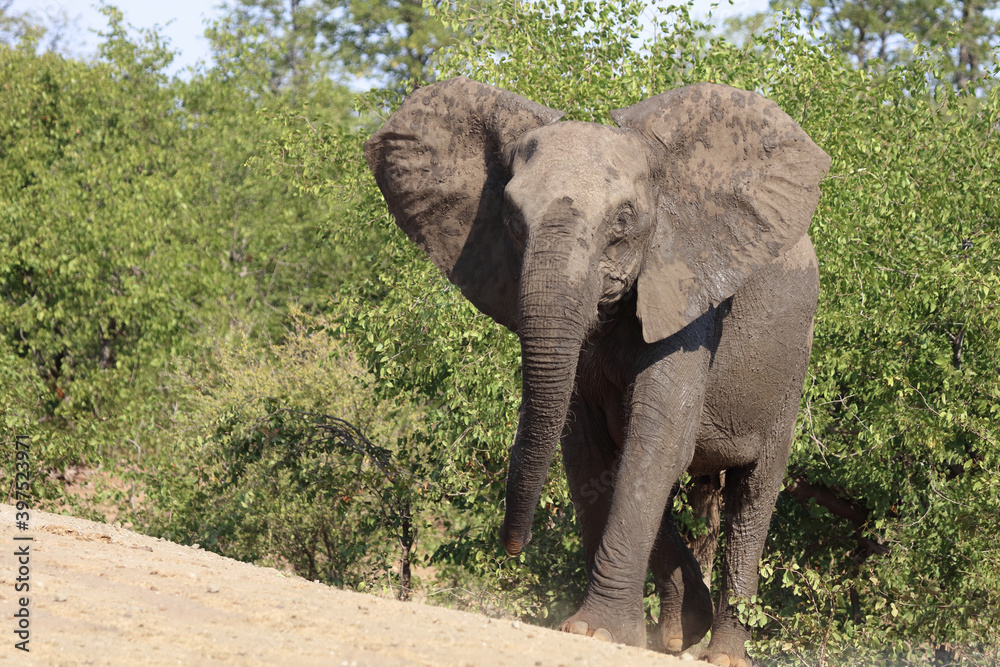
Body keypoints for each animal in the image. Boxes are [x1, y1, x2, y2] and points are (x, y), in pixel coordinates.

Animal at [364, 76, 829, 666]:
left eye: (623, 221)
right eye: (510, 219)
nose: (513, 546)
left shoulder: (689, 300)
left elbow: (658, 443)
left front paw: (599, 633)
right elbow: (587, 449)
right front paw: (612, 628)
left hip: (791, 368)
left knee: (753, 497)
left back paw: (722, 652)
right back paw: (679, 632)